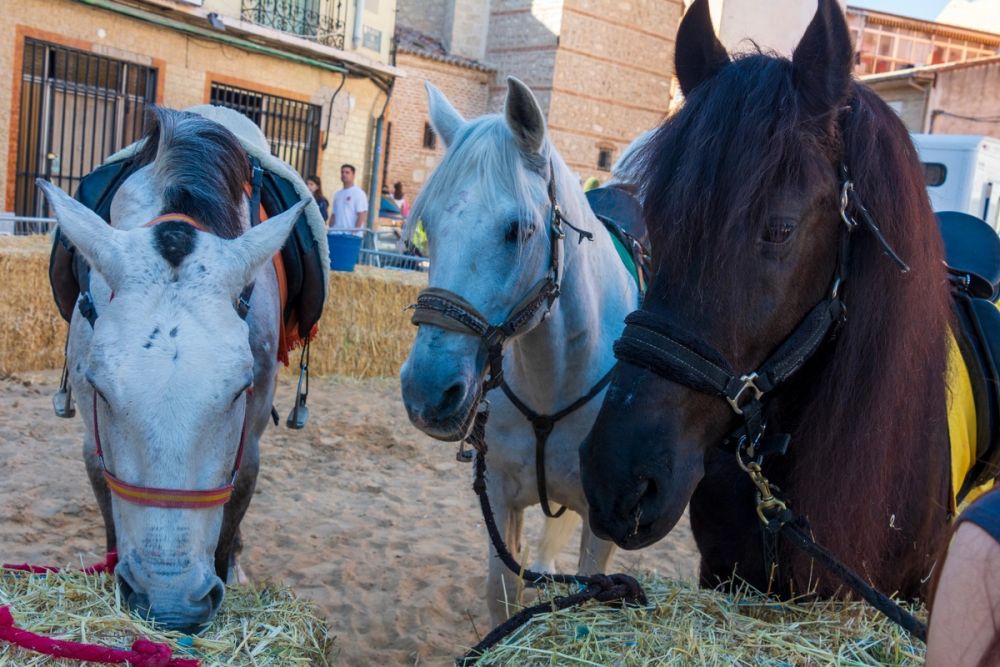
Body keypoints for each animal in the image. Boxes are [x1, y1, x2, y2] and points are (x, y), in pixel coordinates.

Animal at [37, 107, 304, 632]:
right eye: (99, 388)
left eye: (241, 388)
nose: (170, 601)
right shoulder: (93, 443)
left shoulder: (249, 445)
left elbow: (230, 516)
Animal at [399, 78, 641, 623]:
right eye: (430, 226)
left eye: (518, 230)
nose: (427, 392)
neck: (558, 380)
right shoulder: (500, 494)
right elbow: (503, 594)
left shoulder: (604, 522)